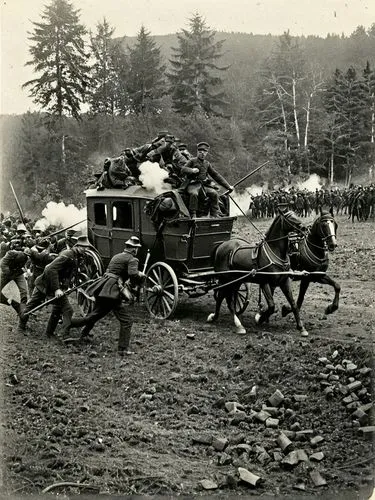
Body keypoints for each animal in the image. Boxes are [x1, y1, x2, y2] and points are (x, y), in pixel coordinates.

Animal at [207, 207, 310, 336]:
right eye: (289, 218)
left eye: (296, 214)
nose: (305, 228)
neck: (275, 252)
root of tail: (221, 246)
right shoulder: (265, 282)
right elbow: (271, 306)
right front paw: (259, 318)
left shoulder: (284, 281)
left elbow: (294, 304)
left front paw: (301, 327)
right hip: (226, 279)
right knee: (224, 297)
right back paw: (236, 324)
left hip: (236, 280)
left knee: (228, 297)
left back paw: (220, 317)